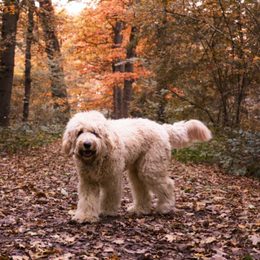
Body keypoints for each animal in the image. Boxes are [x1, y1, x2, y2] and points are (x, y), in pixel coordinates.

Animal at [62, 110, 212, 222]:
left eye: (94, 132)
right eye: (79, 132)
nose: (87, 144)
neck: (98, 156)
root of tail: (161, 127)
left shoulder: (112, 178)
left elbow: (110, 196)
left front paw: (107, 211)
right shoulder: (88, 181)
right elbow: (87, 199)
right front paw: (85, 216)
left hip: (151, 168)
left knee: (167, 184)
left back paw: (165, 207)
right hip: (137, 170)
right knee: (142, 189)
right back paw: (140, 209)